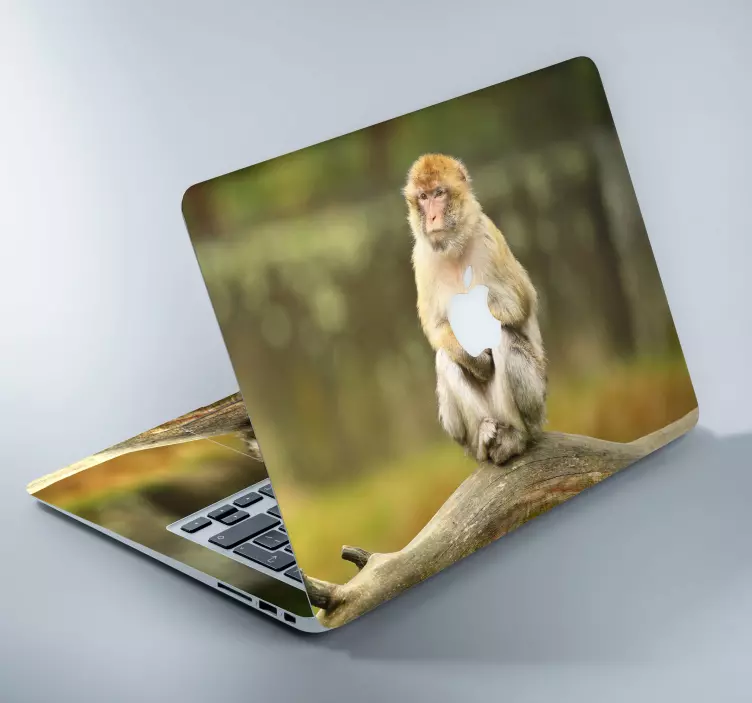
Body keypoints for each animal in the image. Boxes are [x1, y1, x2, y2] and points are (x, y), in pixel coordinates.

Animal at [403, 153, 547, 465]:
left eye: (439, 193)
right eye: (423, 197)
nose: (432, 217)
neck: (454, 249)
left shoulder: (488, 237)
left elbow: (516, 305)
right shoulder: (422, 257)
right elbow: (437, 328)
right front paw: (473, 358)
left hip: (536, 402)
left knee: (504, 338)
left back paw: (515, 437)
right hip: (458, 429)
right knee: (445, 357)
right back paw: (483, 434)